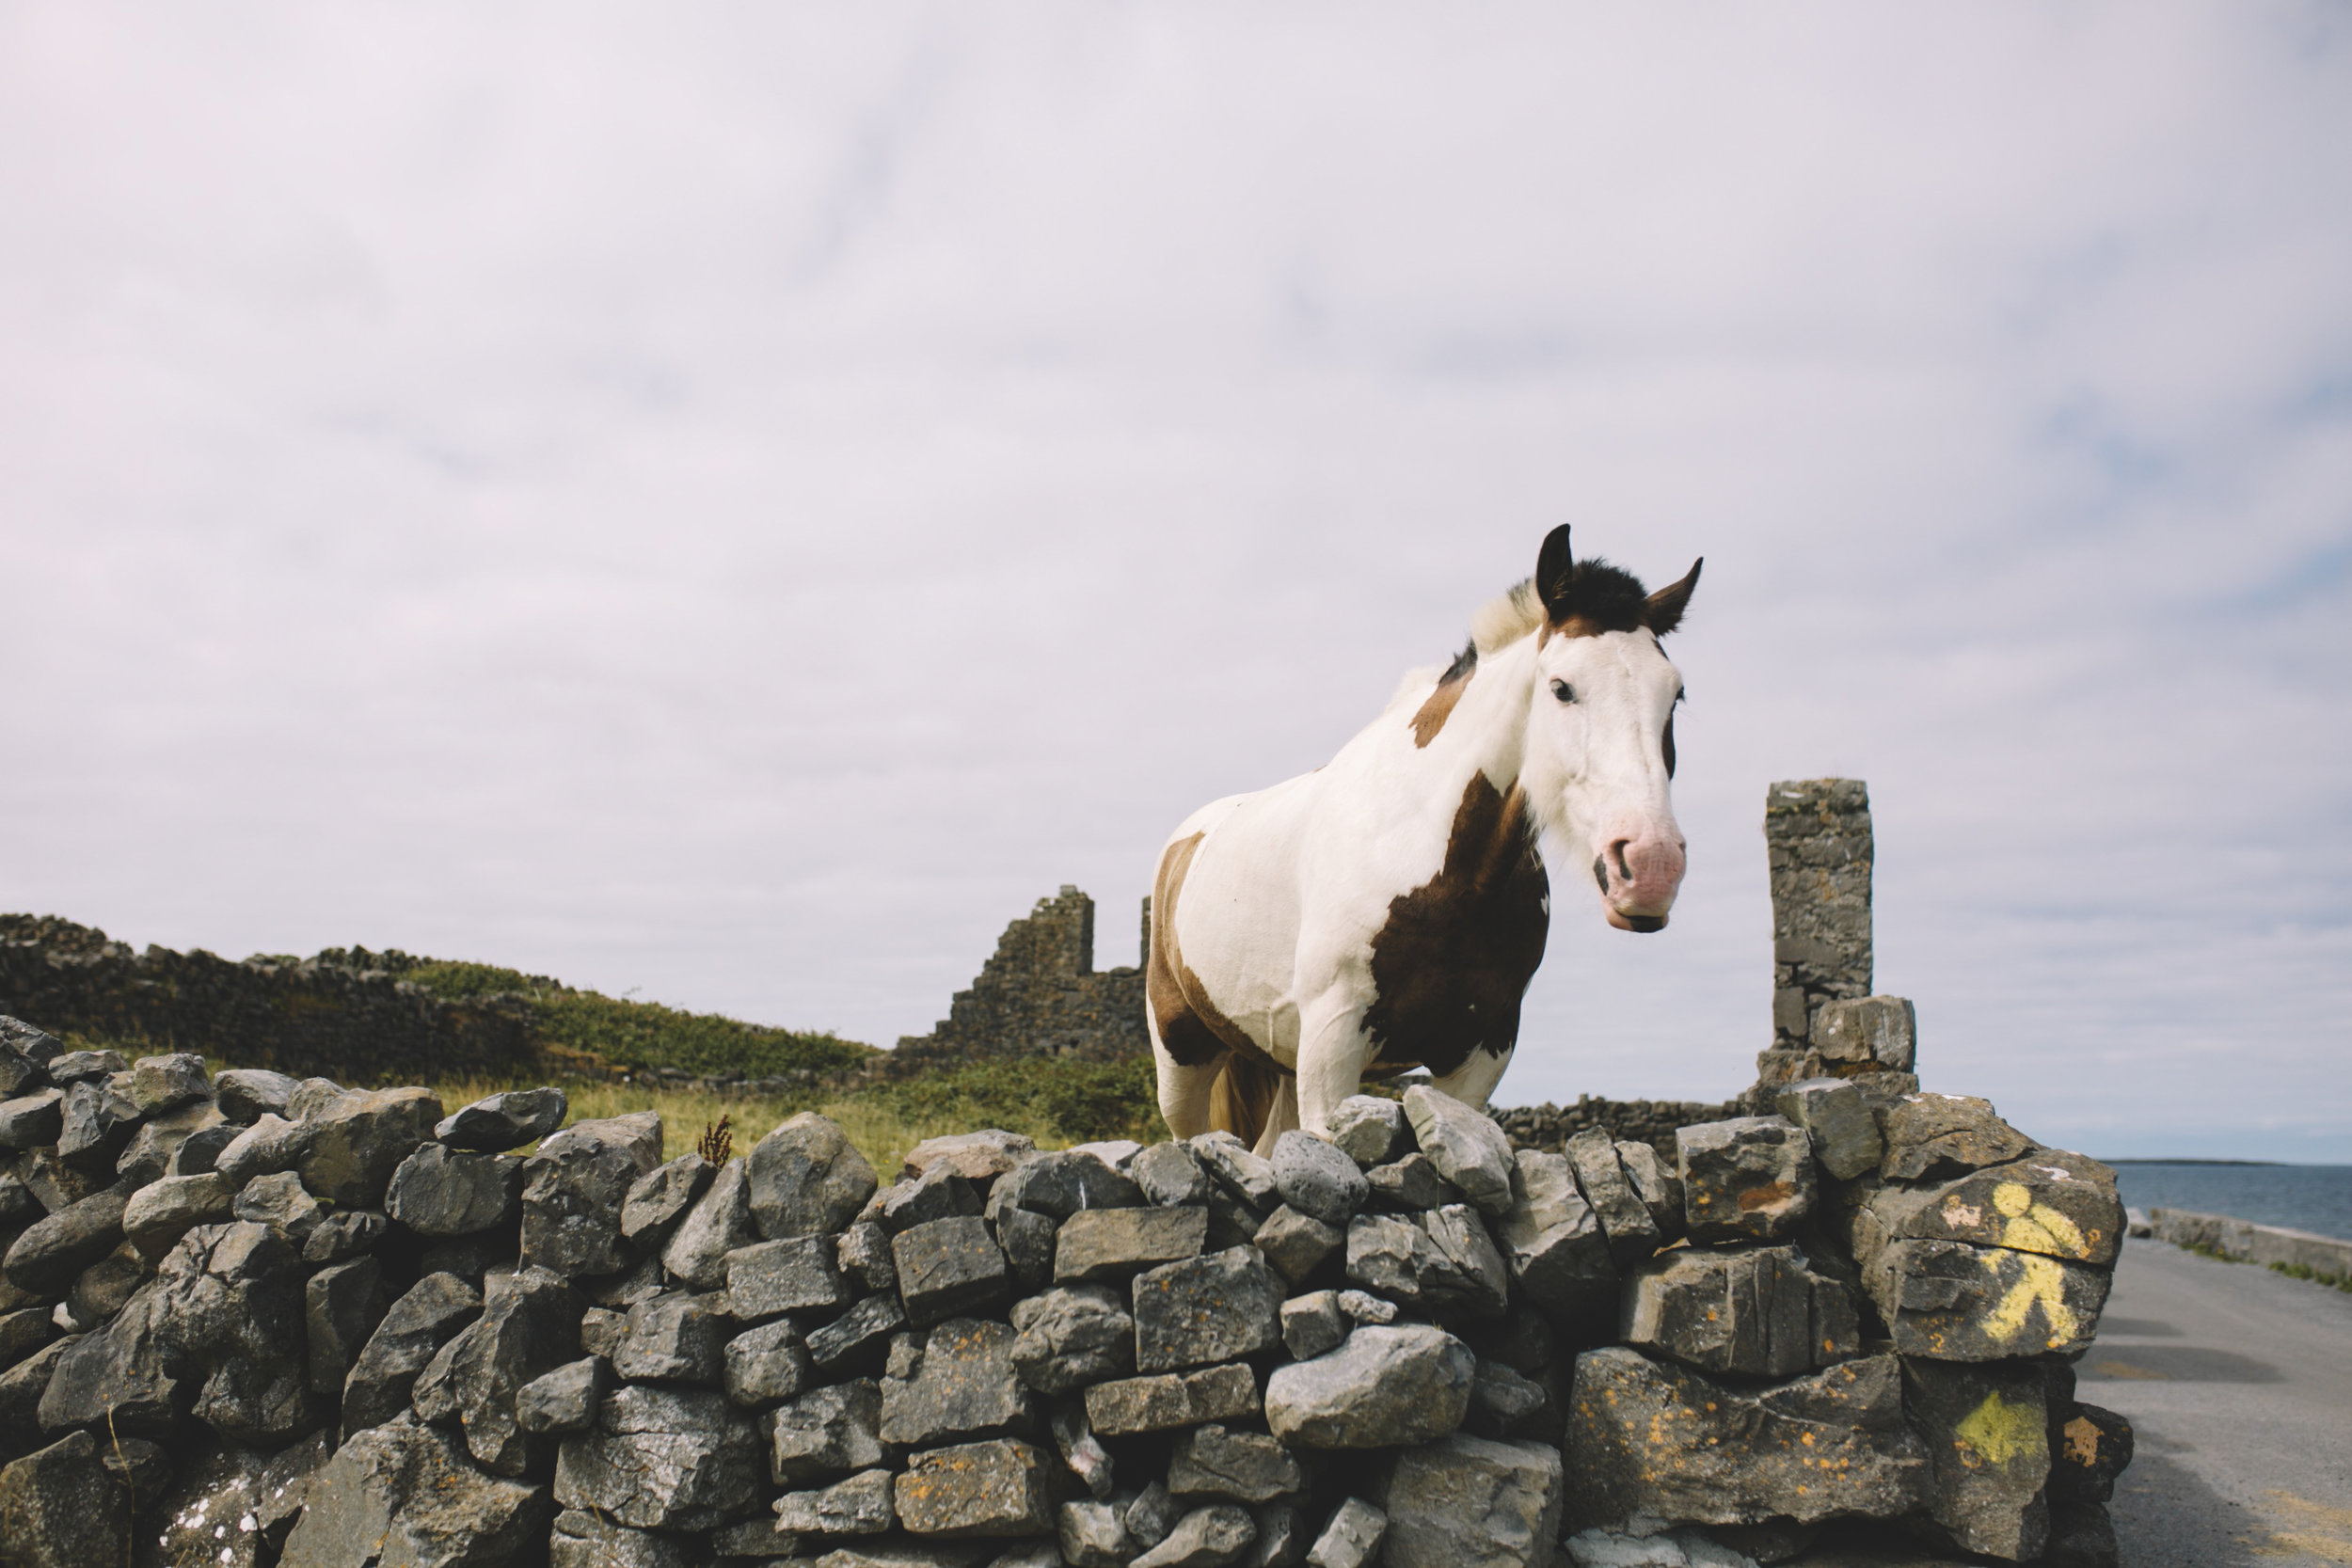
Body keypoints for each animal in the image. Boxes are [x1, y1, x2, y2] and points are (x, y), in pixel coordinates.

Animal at [1148, 526, 1703, 1151]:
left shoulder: (1481, 1051)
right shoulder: (1334, 1044)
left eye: (1676, 694)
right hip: (1182, 1056)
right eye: (1562, 688)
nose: (1652, 865)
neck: (1434, 860)